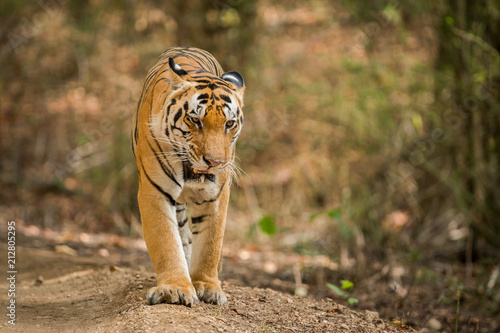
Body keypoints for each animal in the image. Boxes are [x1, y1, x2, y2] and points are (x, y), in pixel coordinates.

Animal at [131, 47, 244, 306]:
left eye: (229, 123)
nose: (214, 162)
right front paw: (175, 288)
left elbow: (211, 244)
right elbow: (166, 241)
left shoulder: (216, 197)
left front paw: (207, 286)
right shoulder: (154, 192)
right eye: (194, 120)